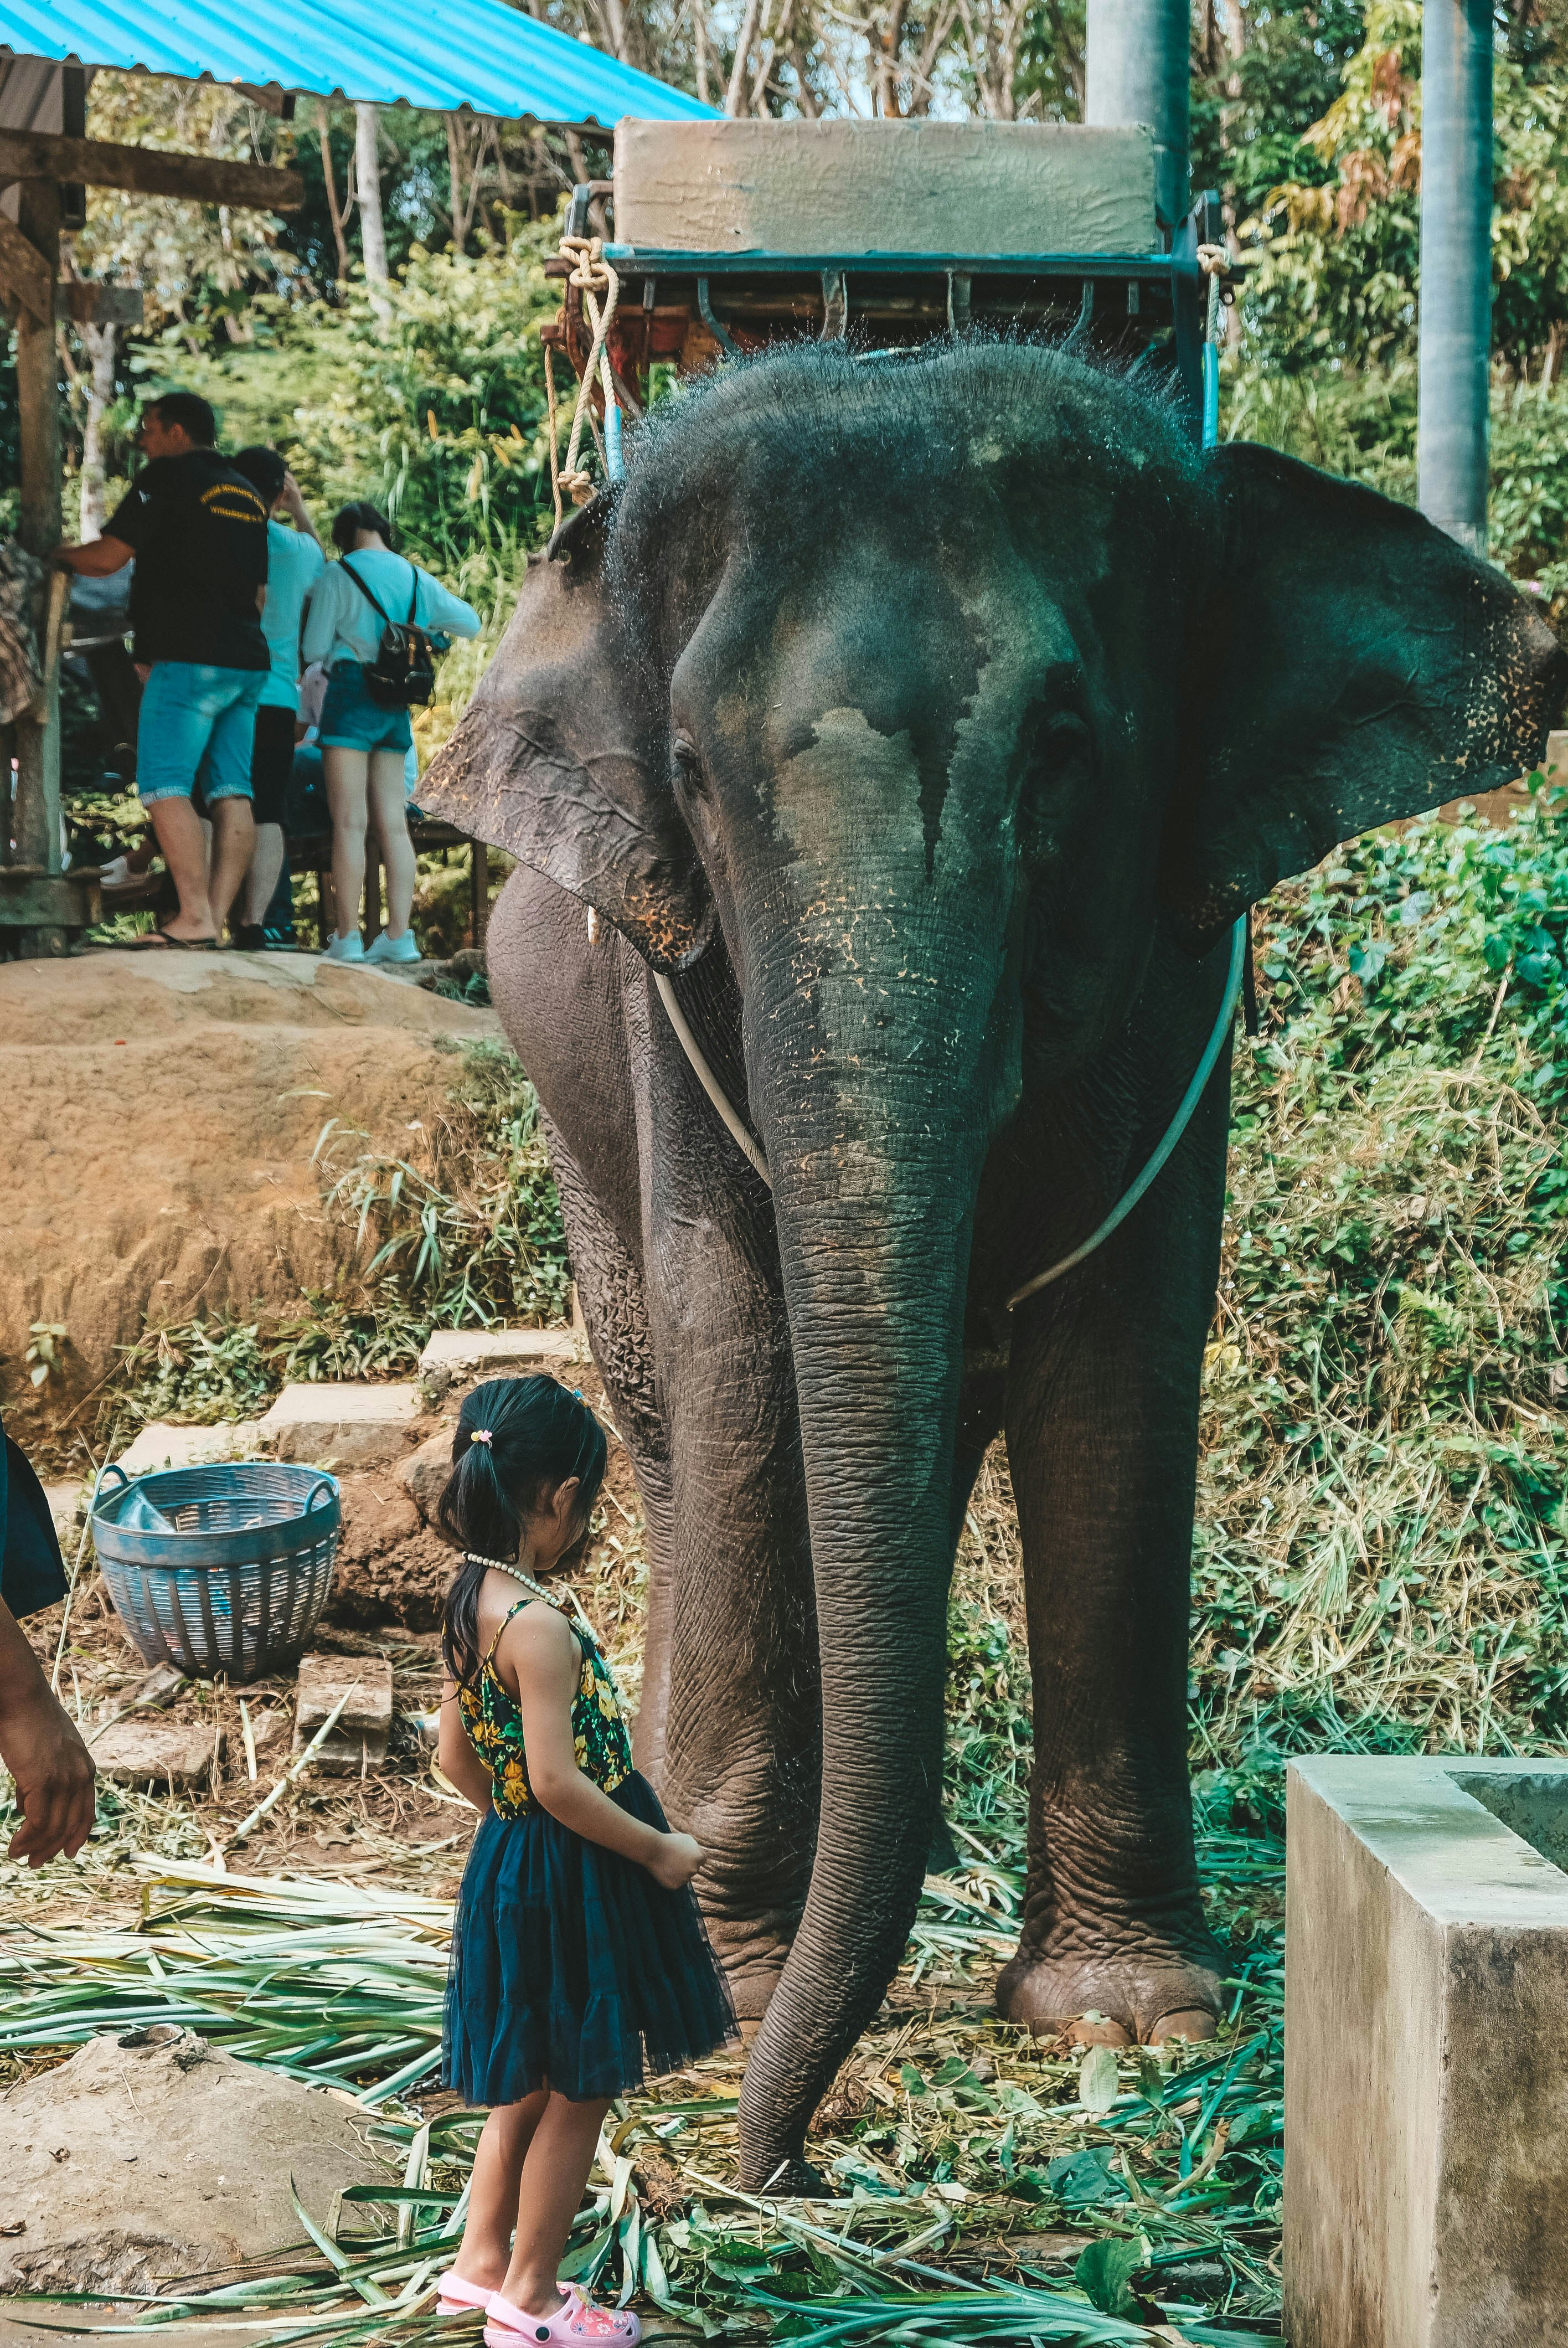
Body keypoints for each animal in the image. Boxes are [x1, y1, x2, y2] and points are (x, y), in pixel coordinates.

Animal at [419, 338, 1563, 2191]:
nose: (783, 2161)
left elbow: (1110, 1368)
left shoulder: (1176, 979)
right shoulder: (667, 1003)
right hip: (561, 1090)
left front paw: (1124, 2018)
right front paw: (727, 1981)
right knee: (668, 1419)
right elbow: (747, 1357)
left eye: (1064, 747)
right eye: (690, 766)